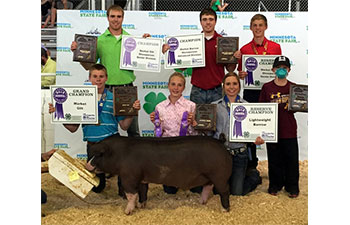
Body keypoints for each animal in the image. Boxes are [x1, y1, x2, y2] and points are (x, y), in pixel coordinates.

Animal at [86, 134, 232, 214]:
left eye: (99, 154)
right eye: (92, 153)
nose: (87, 165)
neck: (119, 154)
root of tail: (221, 143)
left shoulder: (129, 177)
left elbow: (131, 194)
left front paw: (127, 212)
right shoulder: (142, 178)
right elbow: (143, 191)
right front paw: (141, 206)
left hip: (219, 176)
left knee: (224, 191)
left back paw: (224, 210)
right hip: (209, 177)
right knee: (208, 187)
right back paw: (201, 202)